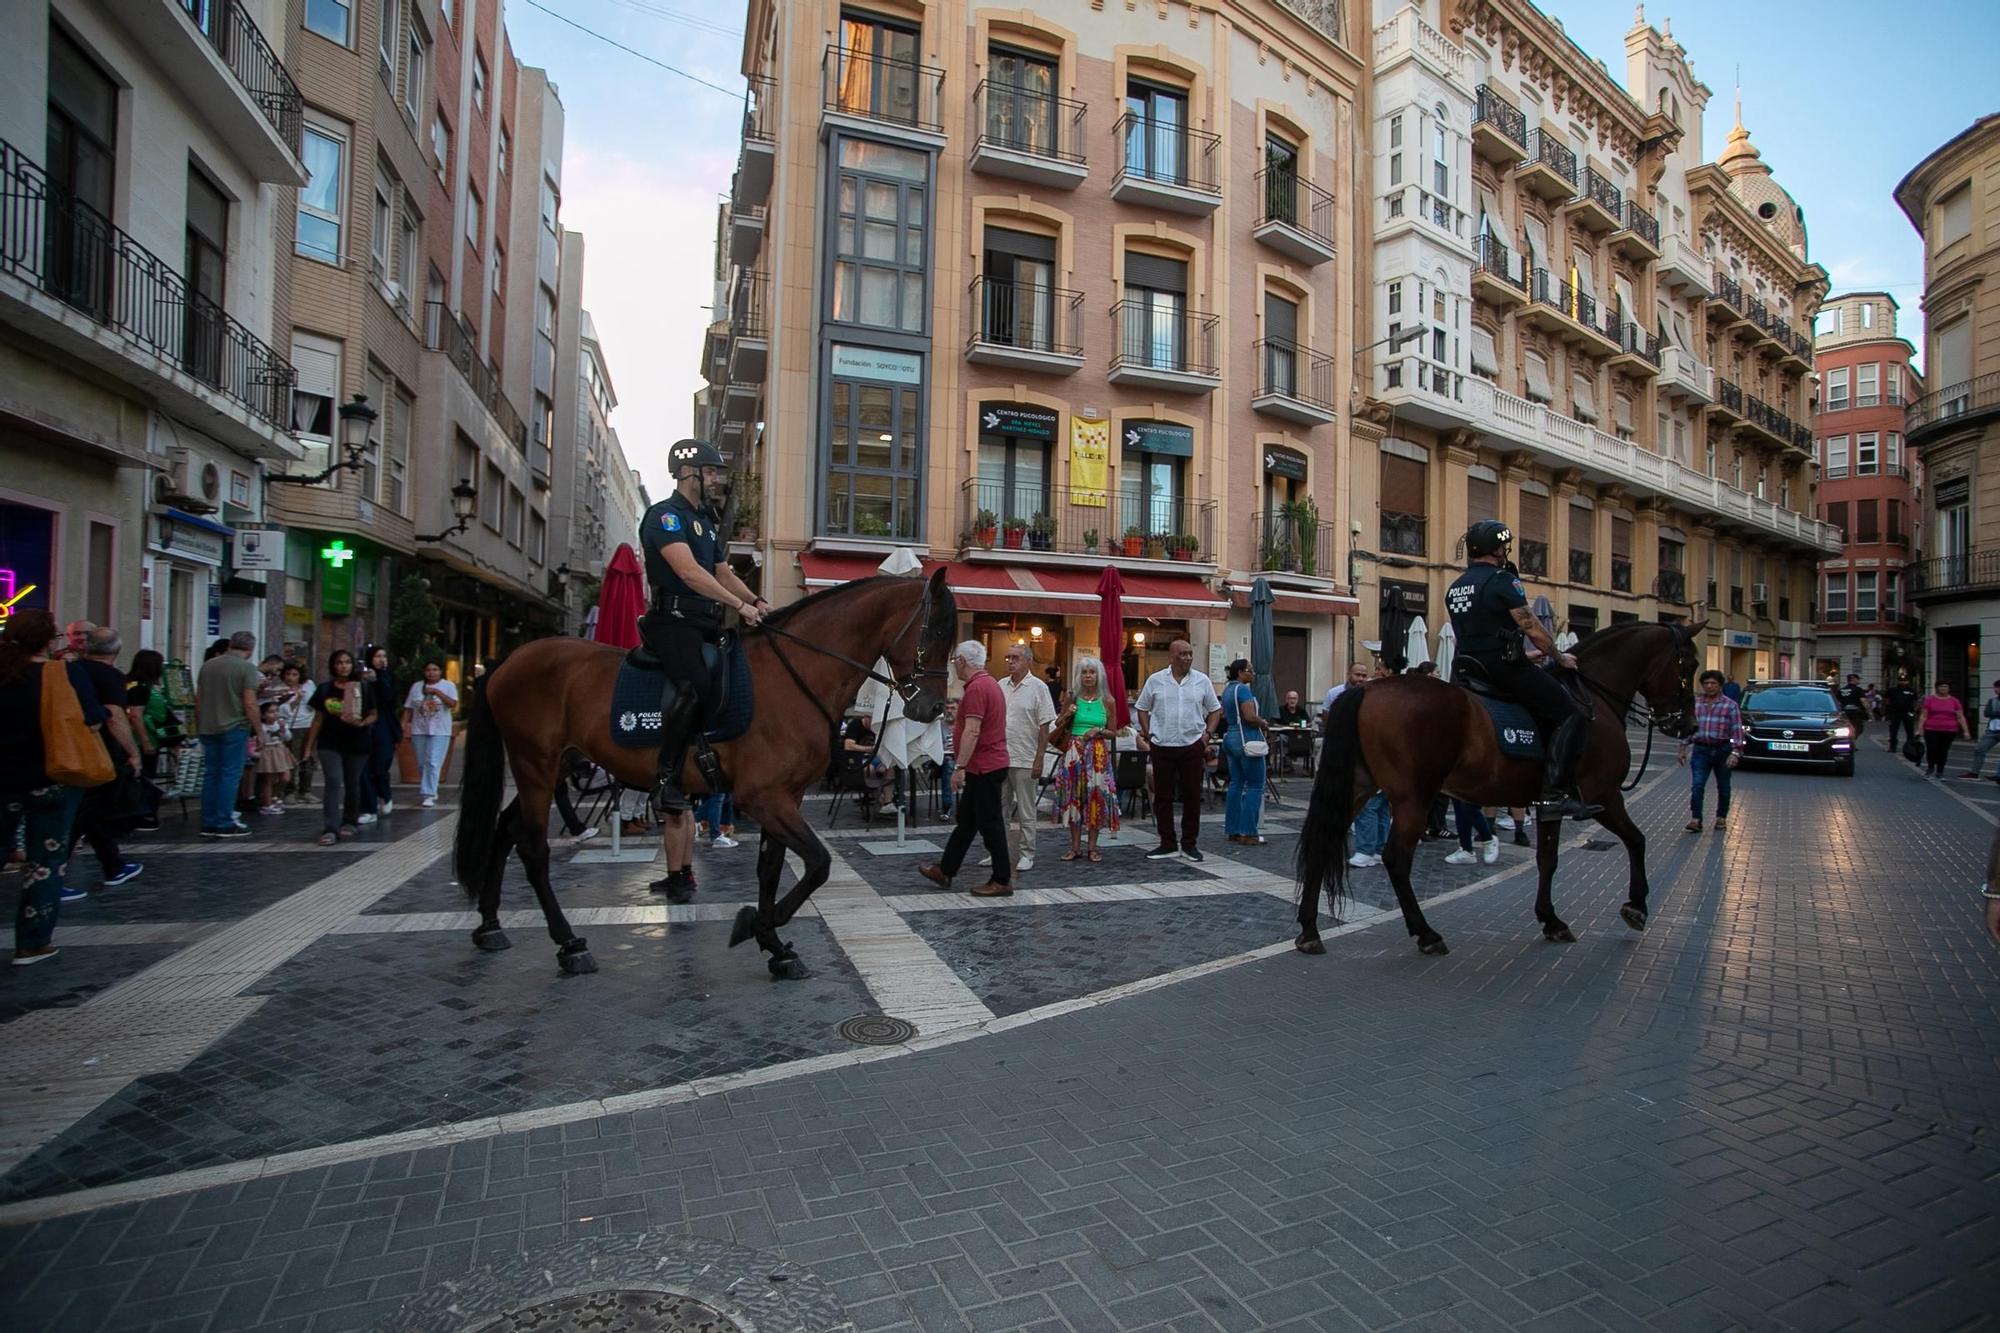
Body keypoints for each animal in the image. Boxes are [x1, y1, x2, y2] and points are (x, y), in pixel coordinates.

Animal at [454, 568, 952, 976]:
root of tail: (508, 661)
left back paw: (490, 925)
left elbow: (772, 868)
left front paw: (774, 944)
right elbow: (818, 863)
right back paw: (569, 944)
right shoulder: (761, 798)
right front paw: (757, 926)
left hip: (553, 767)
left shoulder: (783, 797)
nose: (931, 709)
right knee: (533, 849)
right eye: (935, 632)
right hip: (535, 766)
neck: (795, 676)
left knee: (505, 829)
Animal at [1288, 624, 1696, 956]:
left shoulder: (1550, 802)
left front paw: (1551, 919)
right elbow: (1636, 840)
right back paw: (1426, 933)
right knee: (1396, 859)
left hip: (1358, 788)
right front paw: (1636, 906)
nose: (1687, 726)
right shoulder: (1605, 796)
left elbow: (1548, 859)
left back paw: (1309, 930)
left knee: (1324, 843)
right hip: (1413, 798)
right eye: (1688, 665)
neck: (1593, 699)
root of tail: (1369, 689)